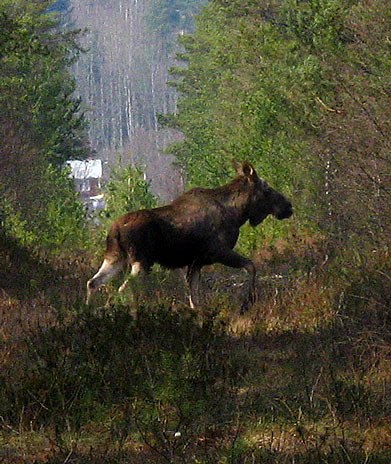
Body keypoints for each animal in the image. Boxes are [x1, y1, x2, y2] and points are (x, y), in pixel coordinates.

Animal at [86, 161, 294, 310]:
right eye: (266, 188)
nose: (288, 206)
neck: (238, 213)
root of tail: (115, 230)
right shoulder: (218, 252)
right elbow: (251, 266)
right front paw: (246, 303)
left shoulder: (196, 262)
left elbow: (194, 299)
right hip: (142, 260)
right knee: (124, 288)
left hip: (115, 257)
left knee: (93, 283)